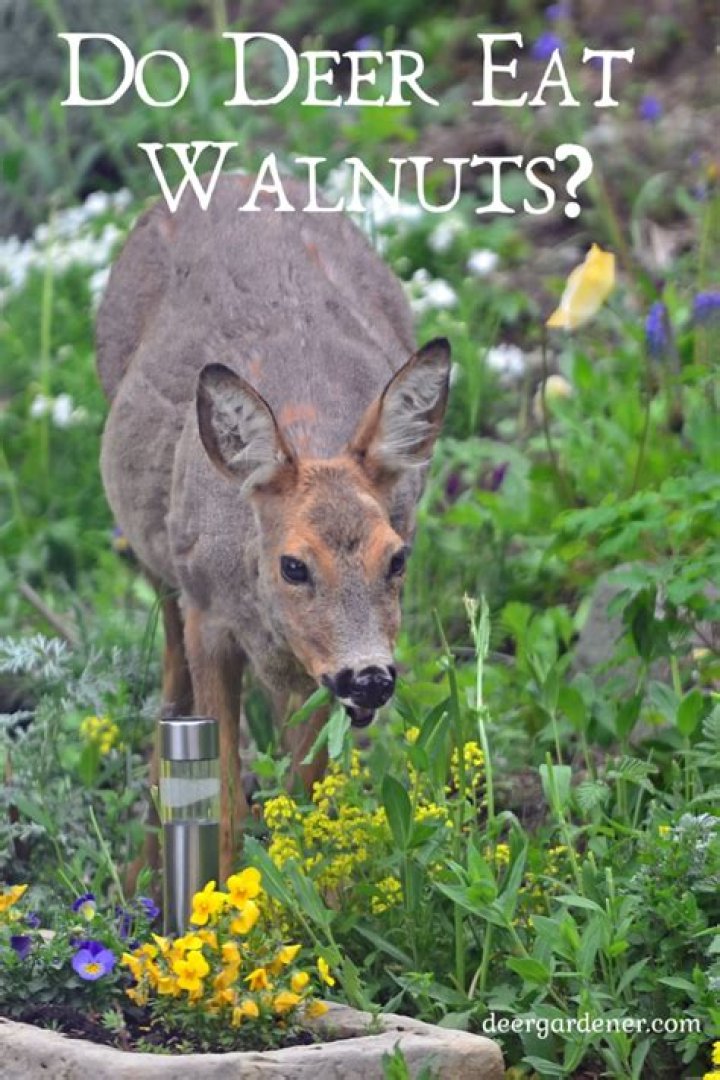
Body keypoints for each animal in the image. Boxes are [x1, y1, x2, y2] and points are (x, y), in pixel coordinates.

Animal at [96, 174, 451, 878]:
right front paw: (216, 898)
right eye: (294, 564)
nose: (370, 676)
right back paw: (139, 872)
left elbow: (308, 796)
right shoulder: (210, 617)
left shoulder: (315, 673)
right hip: (161, 567)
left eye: (397, 558)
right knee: (169, 689)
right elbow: (227, 802)